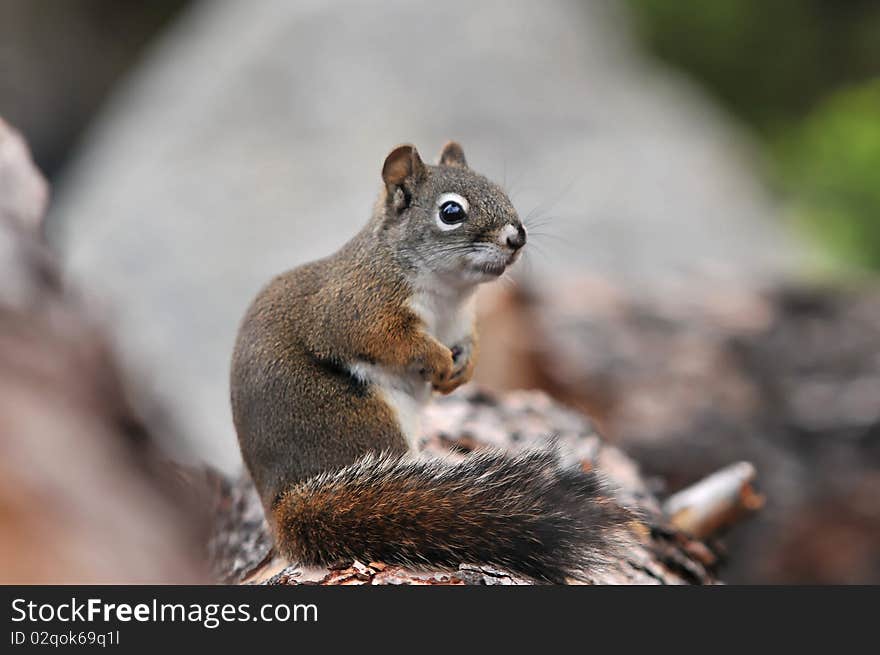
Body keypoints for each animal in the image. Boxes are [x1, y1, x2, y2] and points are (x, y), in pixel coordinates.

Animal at [227, 141, 628, 580]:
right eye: (451, 212)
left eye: (498, 188)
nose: (517, 237)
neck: (449, 294)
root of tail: (282, 501)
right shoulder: (358, 309)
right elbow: (393, 341)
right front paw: (438, 360)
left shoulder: (462, 322)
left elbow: (469, 345)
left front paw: (461, 371)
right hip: (359, 417)